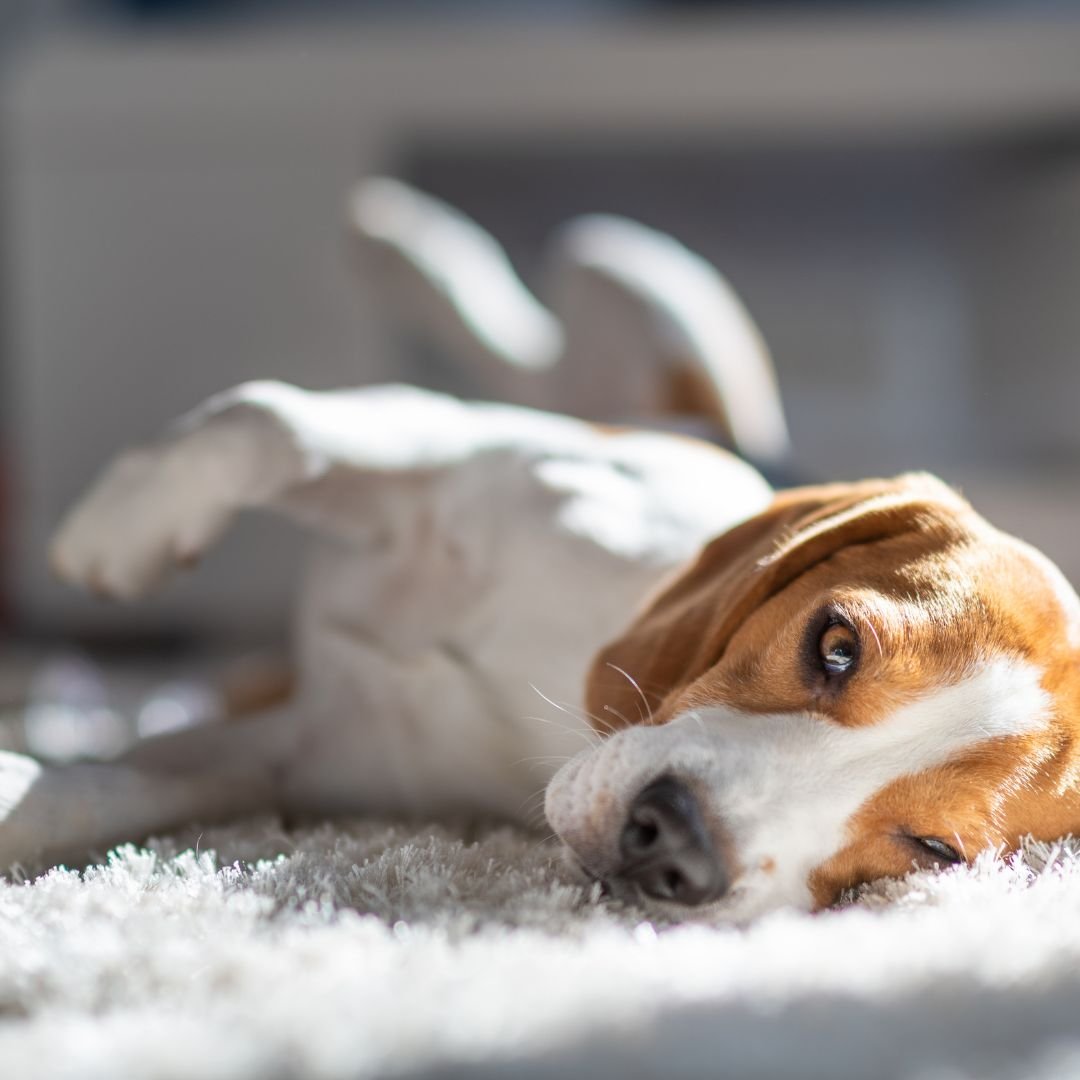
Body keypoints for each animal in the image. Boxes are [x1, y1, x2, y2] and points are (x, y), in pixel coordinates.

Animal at [4, 181, 1075, 924]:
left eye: (934, 849)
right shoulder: (462, 448)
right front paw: (121, 529)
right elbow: (272, 423)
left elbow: (97, 794)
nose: (673, 850)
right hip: (634, 272)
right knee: (529, 338)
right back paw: (410, 244)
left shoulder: (303, 758)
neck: (555, 673)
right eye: (836, 644)